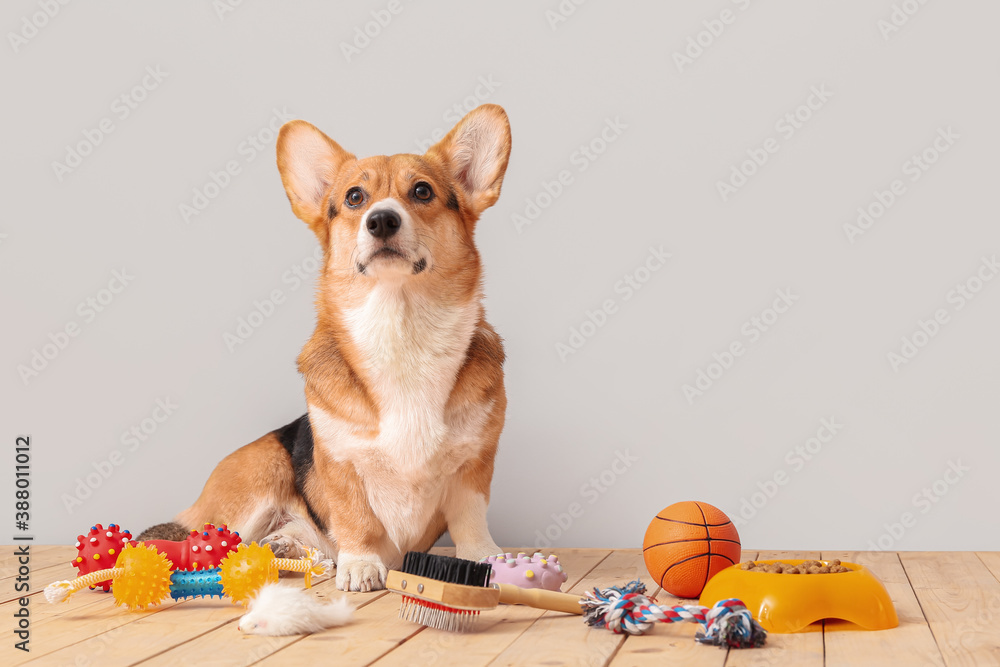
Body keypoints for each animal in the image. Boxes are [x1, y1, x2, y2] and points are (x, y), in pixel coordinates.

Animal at [139, 103, 508, 588]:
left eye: (422, 191)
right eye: (354, 198)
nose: (381, 220)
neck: (400, 328)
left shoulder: (475, 465)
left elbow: (471, 519)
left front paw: (485, 558)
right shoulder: (342, 463)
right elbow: (356, 519)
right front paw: (361, 565)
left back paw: (288, 546)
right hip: (258, 479)